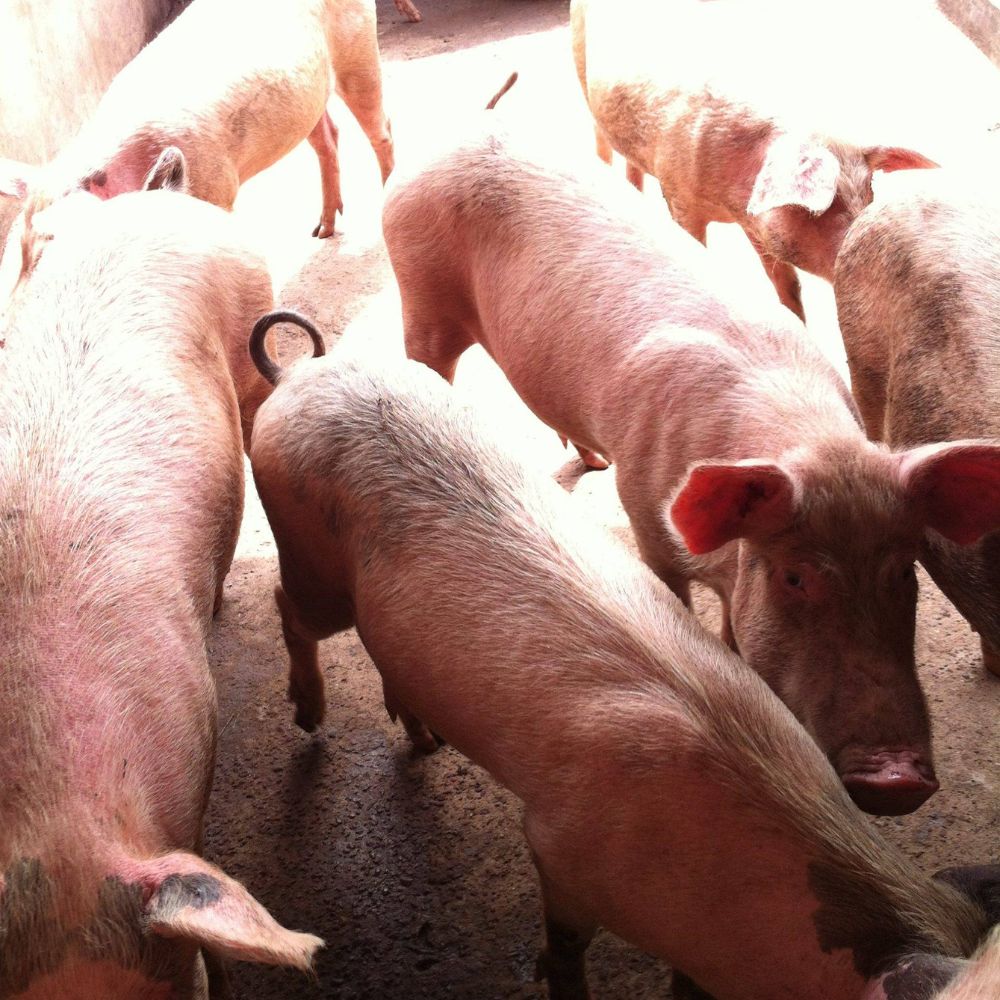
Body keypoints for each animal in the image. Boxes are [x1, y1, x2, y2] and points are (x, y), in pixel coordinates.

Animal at [0, 0, 395, 284]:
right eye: (18, 252)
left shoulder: (217, 186)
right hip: (308, 99)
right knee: (329, 136)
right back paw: (321, 231)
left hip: (359, 52)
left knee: (382, 129)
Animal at [247, 335, 998, 1000]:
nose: (899, 777)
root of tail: (299, 375)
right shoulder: (561, 847)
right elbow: (567, 942)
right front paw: (560, 979)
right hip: (308, 558)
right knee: (290, 609)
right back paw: (309, 717)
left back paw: (424, 740)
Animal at [568, 0, 937, 320]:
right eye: (824, 203)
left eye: (869, 187)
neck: (731, 205)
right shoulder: (679, 195)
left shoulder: (756, 225)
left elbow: (788, 284)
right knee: (599, 133)